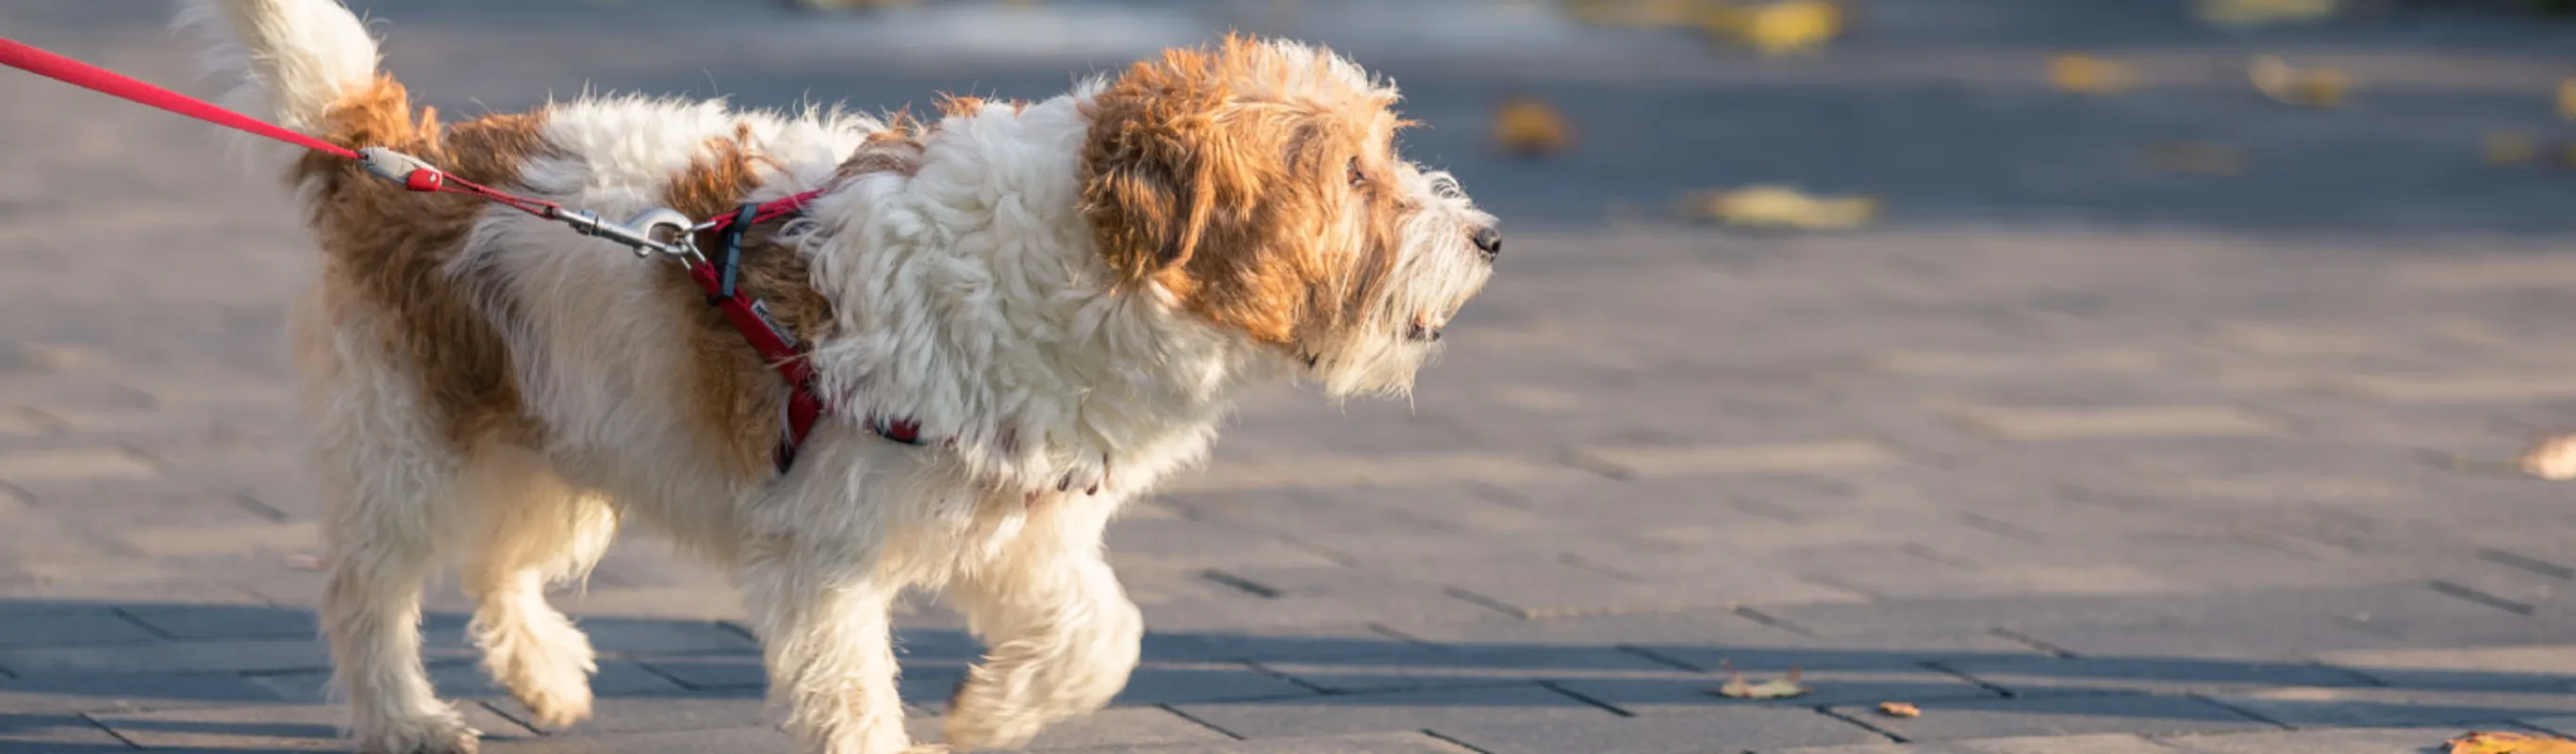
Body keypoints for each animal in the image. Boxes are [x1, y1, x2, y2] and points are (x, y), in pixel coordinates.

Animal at [176, 1, 1494, 751]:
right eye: (1353, 178)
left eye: (1383, 154)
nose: (1488, 240)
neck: (1068, 259)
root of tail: (400, 152)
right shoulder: (826, 558)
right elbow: (855, 698)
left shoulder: (1013, 523)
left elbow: (1102, 636)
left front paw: (989, 712)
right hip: (413, 440)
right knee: (367, 590)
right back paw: (406, 716)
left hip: (566, 433)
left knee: (504, 564)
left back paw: (543, 677)